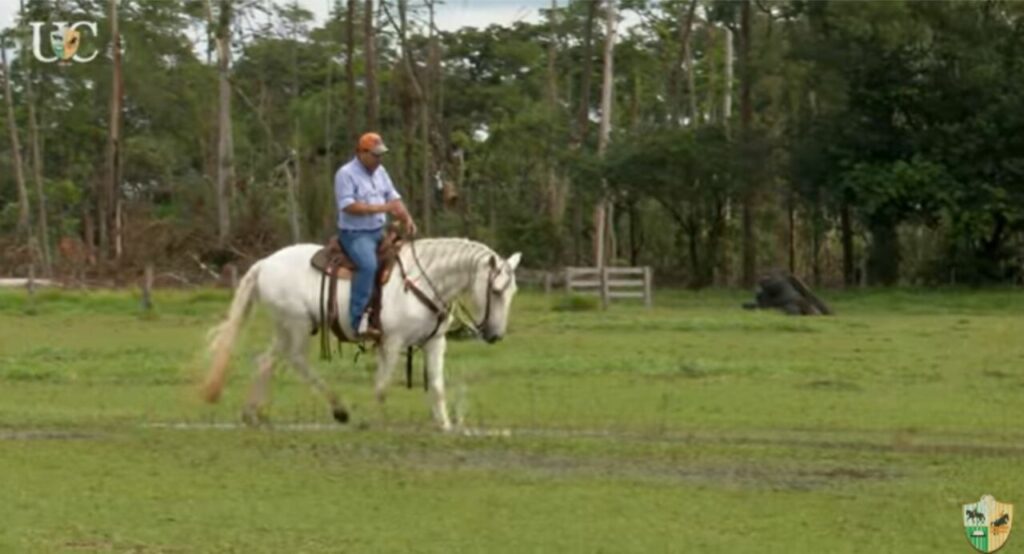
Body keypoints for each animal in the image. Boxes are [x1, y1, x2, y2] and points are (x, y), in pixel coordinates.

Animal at [200, 237, 522, 431]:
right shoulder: (391, 342)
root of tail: (264, 263)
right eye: (495, 290)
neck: (422, 283)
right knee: (296, 361)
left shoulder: (434, 343)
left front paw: (444, 425)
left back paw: (252, 414)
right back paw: (339, 409)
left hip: (284, 328)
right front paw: (377, 421)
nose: (495, 335)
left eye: (513, 291)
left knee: (266, 361)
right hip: (296, 325)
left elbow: (437, 386)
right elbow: (382, 385)